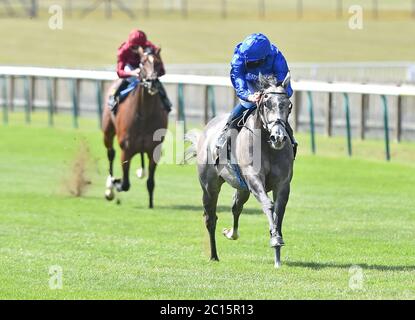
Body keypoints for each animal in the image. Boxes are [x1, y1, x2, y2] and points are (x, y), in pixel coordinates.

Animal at [102, 47, 167, 208]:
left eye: (158, 63)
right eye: (142, 63)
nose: (152, 81)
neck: (144, 115)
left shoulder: (154, 150)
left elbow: (150, 182)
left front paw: (150, 204)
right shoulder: (126, 149)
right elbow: (125, 183)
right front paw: (116, 183)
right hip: (107, 132)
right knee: (110, 153)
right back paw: (110, 188)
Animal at [187, 73, 294, 268]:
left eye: (288, 105)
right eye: (266, 103)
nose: (278, 137)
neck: (266, 143)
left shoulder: (282, 184)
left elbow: (278, 211)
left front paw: (277, 250)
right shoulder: (253, 178)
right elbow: (268, 204)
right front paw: (275, 240)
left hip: (242, 188)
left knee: (236, 207)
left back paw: (231, 233)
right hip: (209, 187)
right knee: (210, 218)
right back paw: (214, 255)